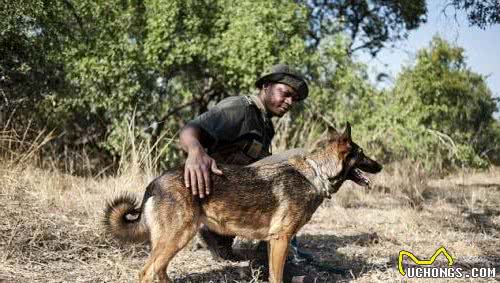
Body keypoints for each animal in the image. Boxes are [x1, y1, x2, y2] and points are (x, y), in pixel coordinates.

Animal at [102, 123, 382, 282]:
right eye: (362, 154)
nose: (380, 166)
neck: (317, 172)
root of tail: (154, 183)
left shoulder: (274, 241)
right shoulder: (281, 239)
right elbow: (277, 277)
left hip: (173, 241)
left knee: (159, 272)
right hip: (177, 237)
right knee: (147, 273)